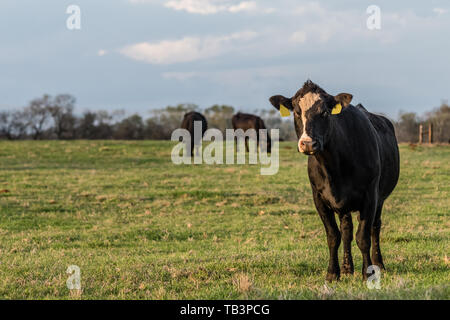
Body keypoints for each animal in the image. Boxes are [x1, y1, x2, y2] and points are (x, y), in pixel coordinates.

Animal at [268, 80, 400, 282]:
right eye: (297, 112)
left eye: (324, 112)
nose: (308, 143)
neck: (335, 167)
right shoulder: (319, 198)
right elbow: (333, 236)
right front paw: (333, 273)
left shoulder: (371, 196)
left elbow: (363, 237)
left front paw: (367, 272)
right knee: (346, 230)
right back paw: (347, 267)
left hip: (380, 198)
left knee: (374, 227)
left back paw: (378, 264)